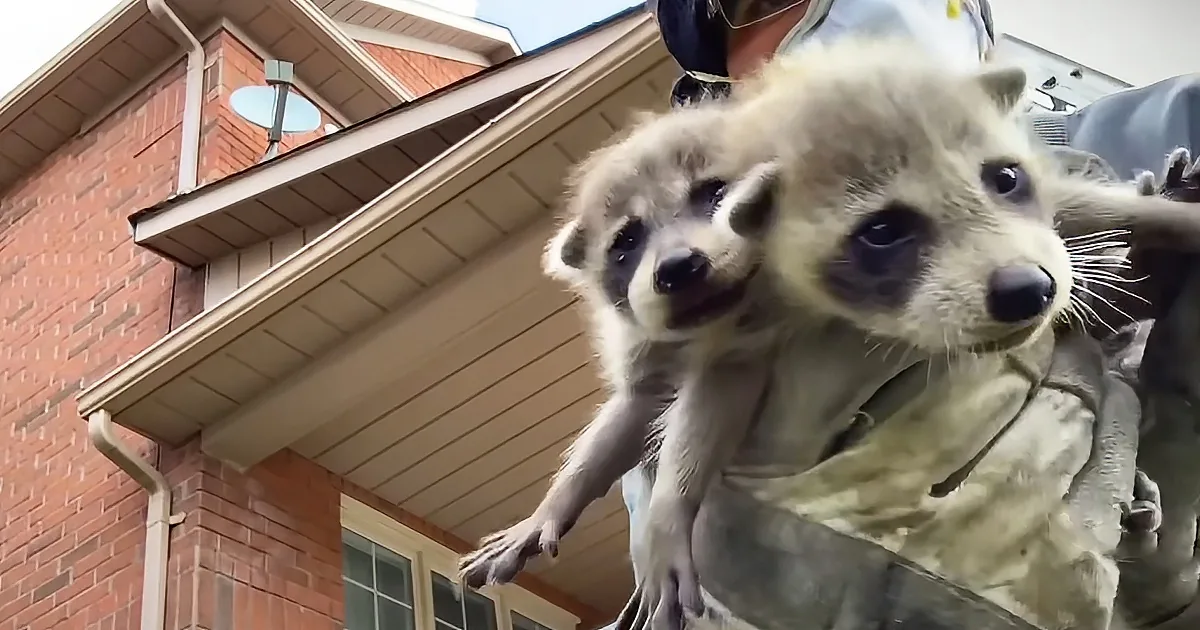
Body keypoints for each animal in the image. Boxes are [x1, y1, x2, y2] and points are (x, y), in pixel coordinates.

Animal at [457, 102, 783, 591]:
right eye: (626, 242)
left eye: (715, 193)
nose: (678, 268)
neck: (716, 321)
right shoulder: (649, 341)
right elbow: (636, 407)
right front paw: (557, 502)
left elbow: (719, 392)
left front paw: (670, 504)